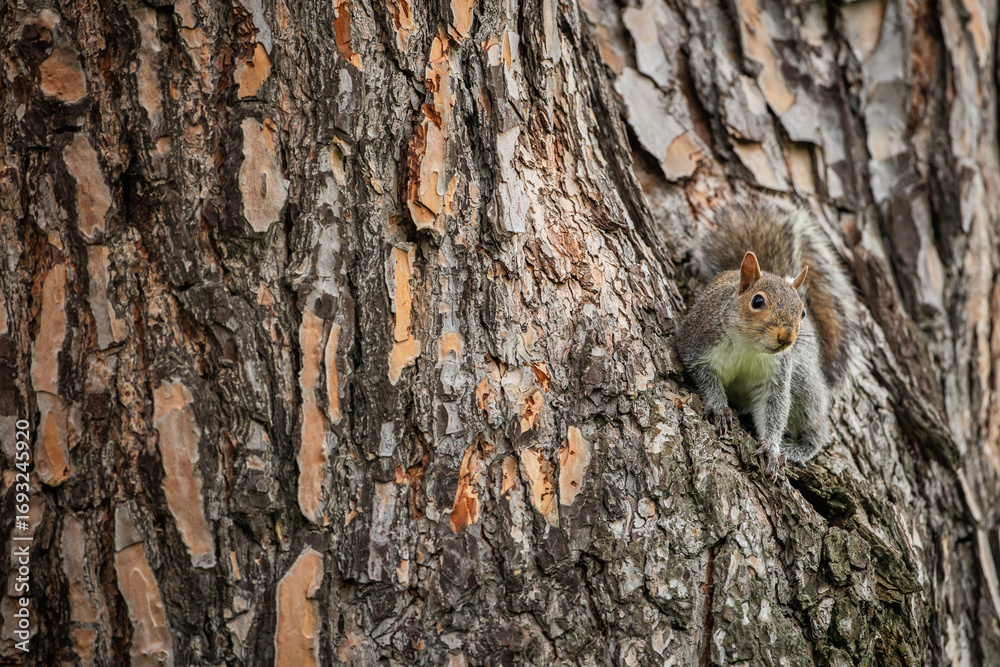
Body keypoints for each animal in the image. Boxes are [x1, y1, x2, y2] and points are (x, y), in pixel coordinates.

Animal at [676, 199, 858, 480]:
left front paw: (772, 449)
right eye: (757, 301)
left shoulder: (777, 374)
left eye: (802, 312)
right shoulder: (698, 342)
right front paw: (719, 407)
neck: (749, 346)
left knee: (816, 424)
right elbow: (705, 377)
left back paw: (800, 448)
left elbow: (774, 408)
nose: (786, 337)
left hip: (802, 377)